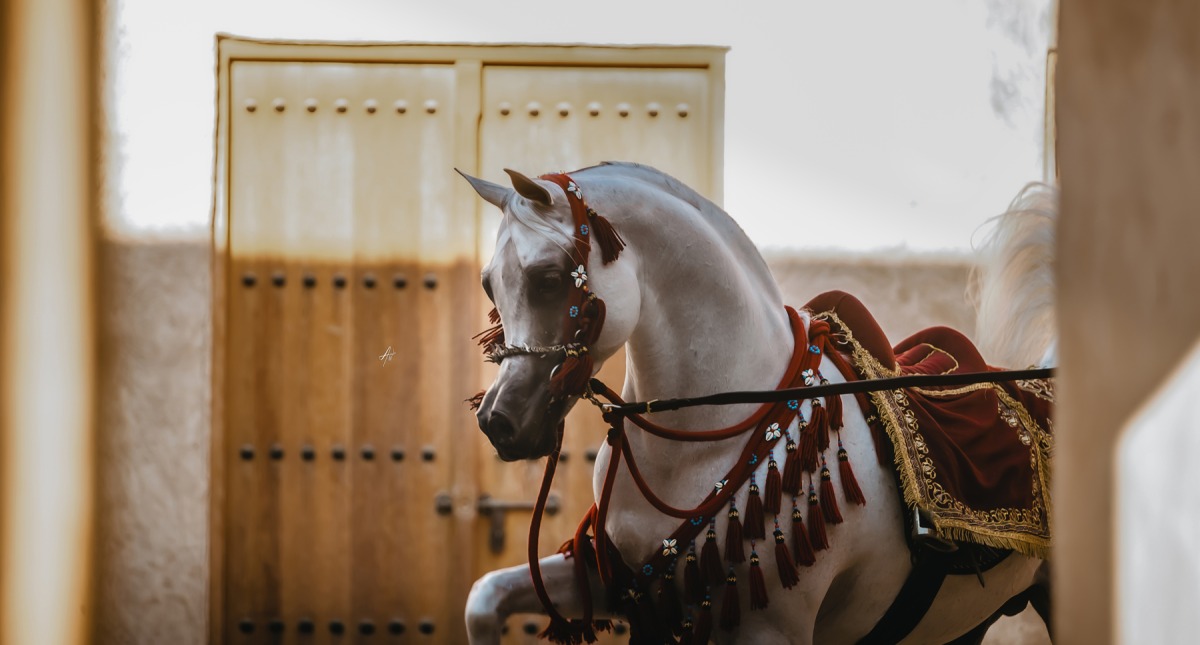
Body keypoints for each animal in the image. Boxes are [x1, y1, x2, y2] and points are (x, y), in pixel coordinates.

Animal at [461, 162, 1056, 644]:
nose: (498, 422)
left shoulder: (765, 627)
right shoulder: (621, 582)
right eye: (489, 285)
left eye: (549, 278)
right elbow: (483, 599)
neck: (696, 437)